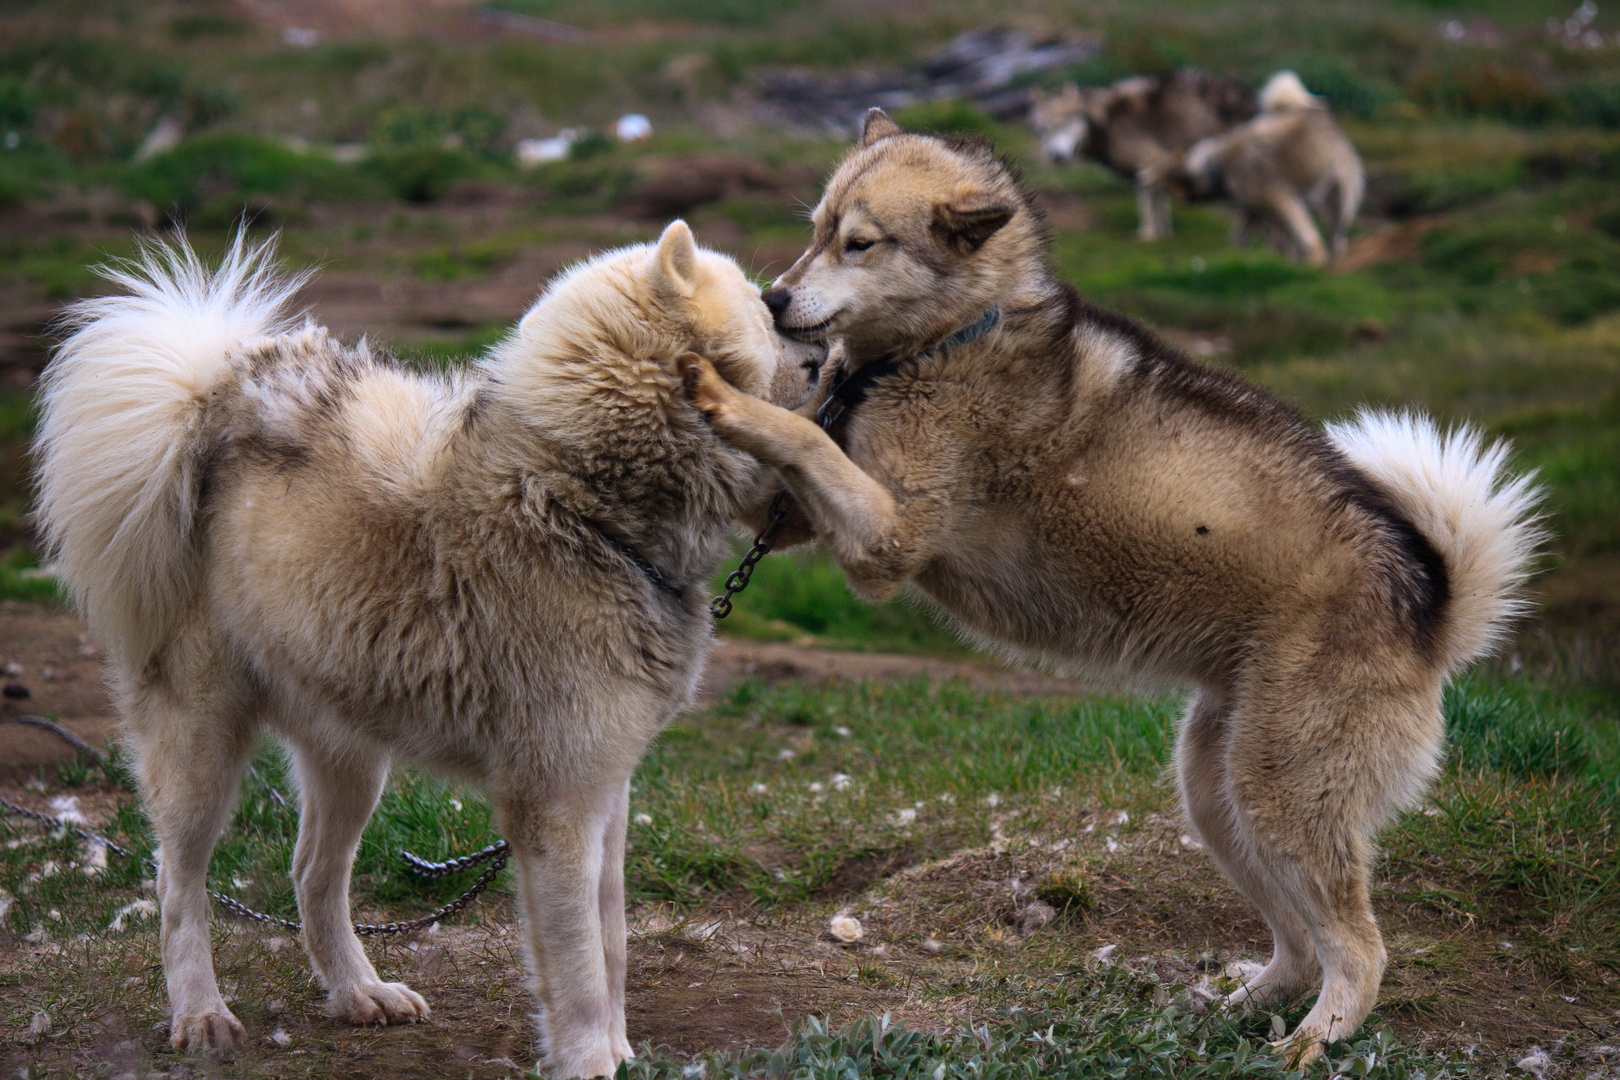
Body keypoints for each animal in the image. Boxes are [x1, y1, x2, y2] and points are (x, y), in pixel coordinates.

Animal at [34, 223, 822, 1075]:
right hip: (202, 750)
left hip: (351, 756)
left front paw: (617, 1051)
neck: (582, 502)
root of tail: (206, 395)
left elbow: (612, 944)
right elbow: (579, 962)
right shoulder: (559, 805)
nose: (825, 359)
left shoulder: (606, 788)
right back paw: (201, 1014)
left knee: (312, 878)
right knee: (179, 886)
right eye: (766, 313)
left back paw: (358, 993)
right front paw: (587, 1058)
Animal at [1030, 70, 1257, 241]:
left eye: (1063, 126)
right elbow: (1160, 202)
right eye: (1044, 130)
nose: (1056, 156)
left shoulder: (1148, 164)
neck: (1106, 121)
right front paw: (1164, 231)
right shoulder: (1158, 167)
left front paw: (1149, 234)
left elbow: (1147, 203)